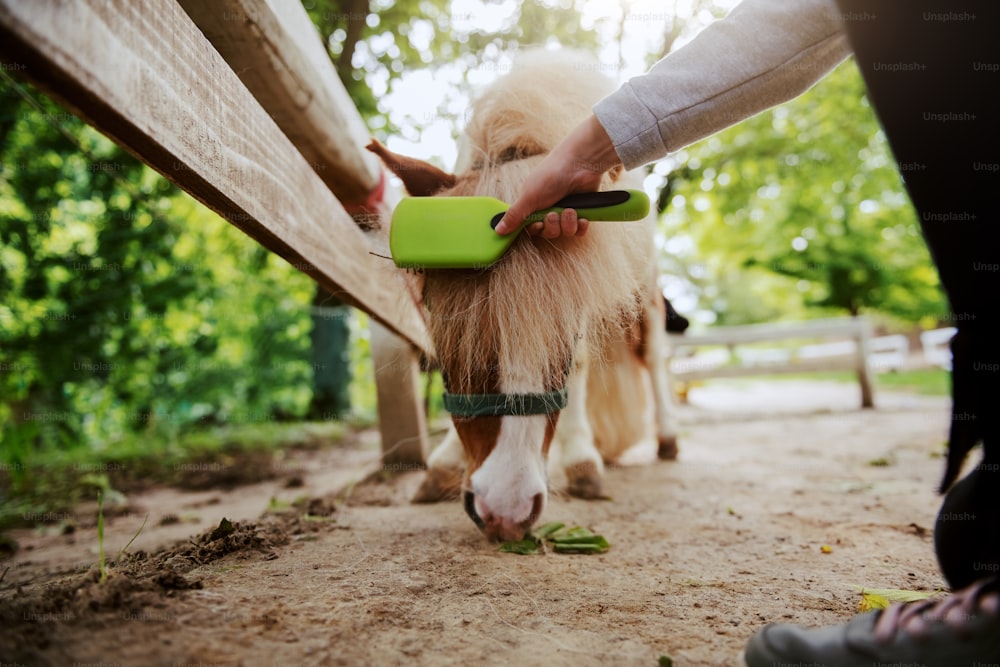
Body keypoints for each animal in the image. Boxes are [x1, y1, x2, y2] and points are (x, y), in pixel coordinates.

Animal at [368, 52, 680, 544]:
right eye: (438, 312)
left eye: (568, 325)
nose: (505, 509)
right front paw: (444, 463)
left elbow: (584, 366)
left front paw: (582, 461)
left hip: (646, 290)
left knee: (653, 357)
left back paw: (665, 437)